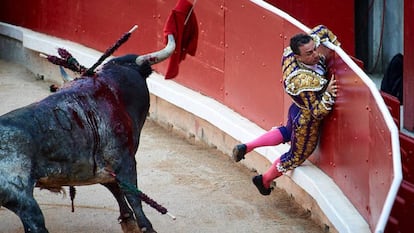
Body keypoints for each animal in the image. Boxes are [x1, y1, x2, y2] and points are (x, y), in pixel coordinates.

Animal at [0, 55, 158, 233]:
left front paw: (128, 221)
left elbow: (115, 188)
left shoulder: (97, 169)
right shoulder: (124, 160)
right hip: (24, 202)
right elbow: (132, 195)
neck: (110, 89)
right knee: (36, 225)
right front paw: (145, 227)